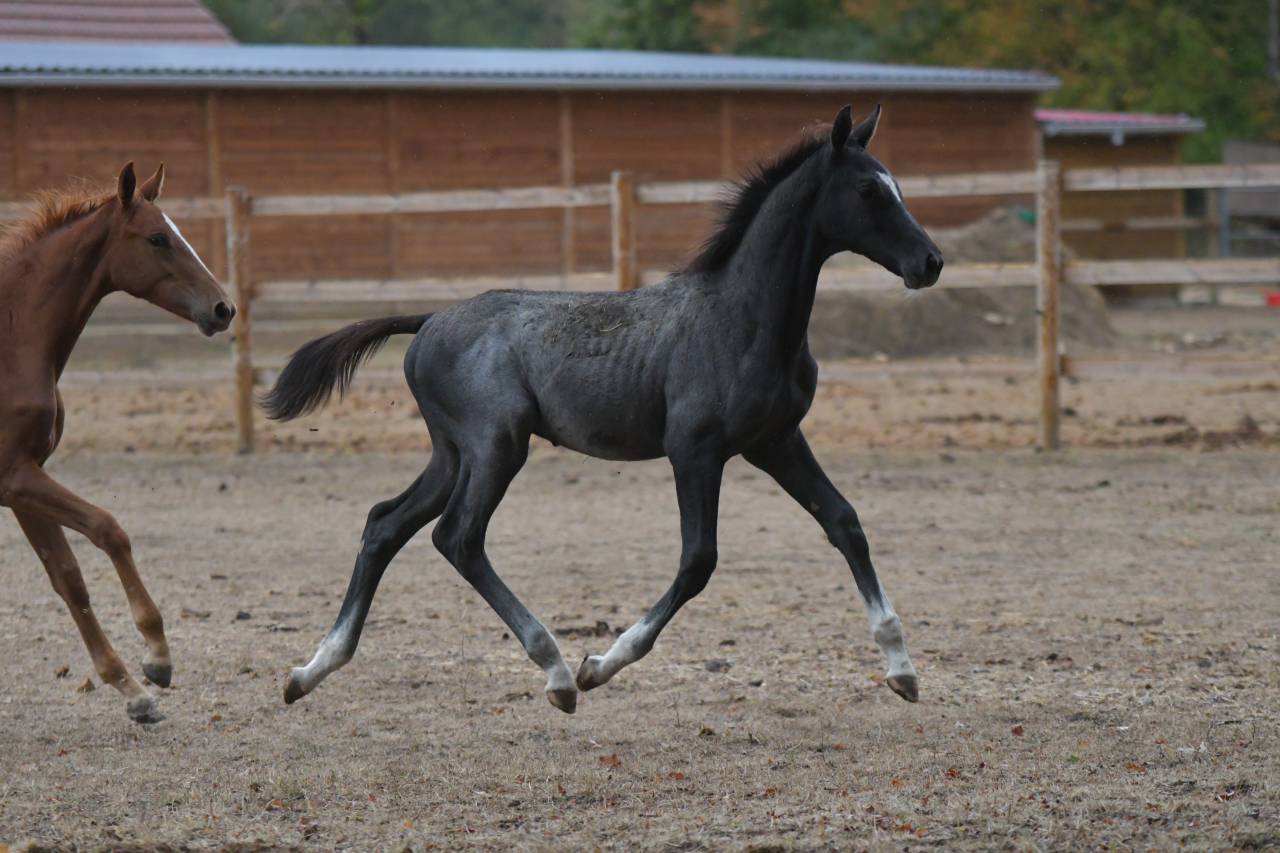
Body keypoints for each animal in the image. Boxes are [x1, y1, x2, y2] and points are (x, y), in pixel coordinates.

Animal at [0, 163, 236, 722]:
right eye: (157, 238)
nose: (223, 308)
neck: (9, 344)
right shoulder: (13, 475)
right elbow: (109, 529)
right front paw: (156, 659)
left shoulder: (22, 476)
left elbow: (67, 575)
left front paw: (130, 687)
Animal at [265, 105, 943, 714]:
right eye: (867, 190)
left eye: (897, 186)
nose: (930, 262)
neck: (743, 320)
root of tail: (429, 319)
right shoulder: (695, 450)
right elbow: (698, 560)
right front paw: (601, 663)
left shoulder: (775, 441)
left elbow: (844, 521)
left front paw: (902, 670)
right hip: (496, 443)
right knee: (458, 537)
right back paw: (558, 672)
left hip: (452, 452)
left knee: (386, 523)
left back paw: (310, 671)